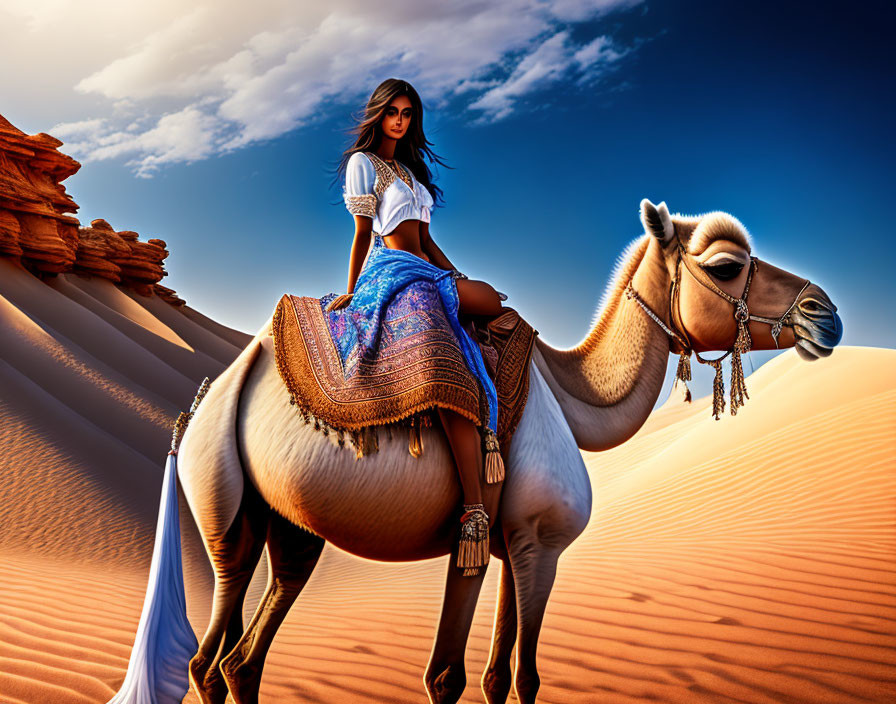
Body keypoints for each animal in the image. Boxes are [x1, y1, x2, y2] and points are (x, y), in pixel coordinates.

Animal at [108, 199, 844, 704]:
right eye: (726, 264)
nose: (825, 314)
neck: (572, 399)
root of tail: (209, 398)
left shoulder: (516, 543)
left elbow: (495, 676)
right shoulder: (536, 543)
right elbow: (481, 676)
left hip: (289, 527)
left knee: (242, 655)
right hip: (224, 509)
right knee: (211, 649)